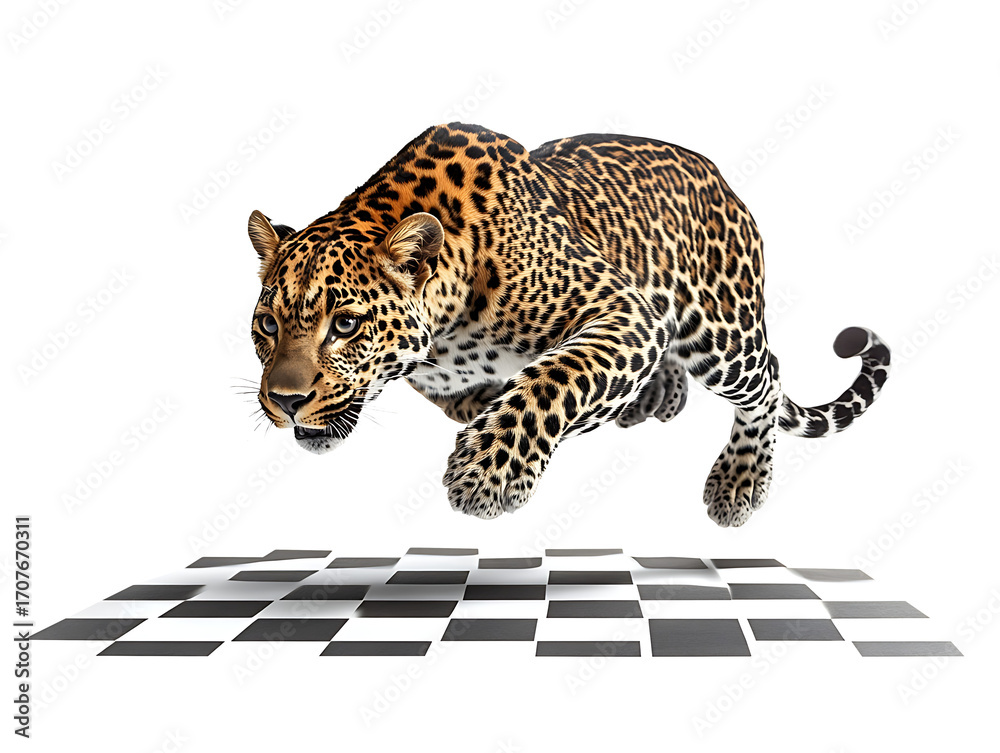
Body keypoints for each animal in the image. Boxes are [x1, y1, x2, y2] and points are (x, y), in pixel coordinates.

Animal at [246, 122, 890, 527]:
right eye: (267, 326)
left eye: (345, 324)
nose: (285, 401)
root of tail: (720, 179)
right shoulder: (449, 387)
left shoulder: (625, 309)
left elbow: (557, 377)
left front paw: (488, 473)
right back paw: (658, 394)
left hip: (721, 331)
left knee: (767, 379)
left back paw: (739, 479)